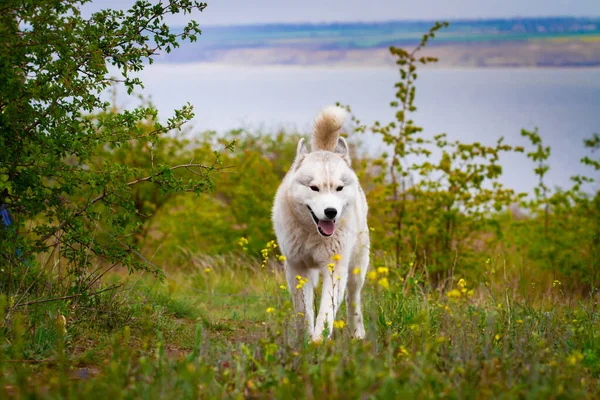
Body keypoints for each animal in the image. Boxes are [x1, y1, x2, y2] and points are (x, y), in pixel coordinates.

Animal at [274, 104, 370, 340]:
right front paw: (305, 341)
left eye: (339, 188)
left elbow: (326, 313)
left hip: (356, 269)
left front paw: (318, 342)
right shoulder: (297, 268)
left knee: (353, 301)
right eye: (314, 188)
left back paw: (357, 334)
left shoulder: (334, 269)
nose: (331, 212)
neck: (312, 234)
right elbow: (303, 312)